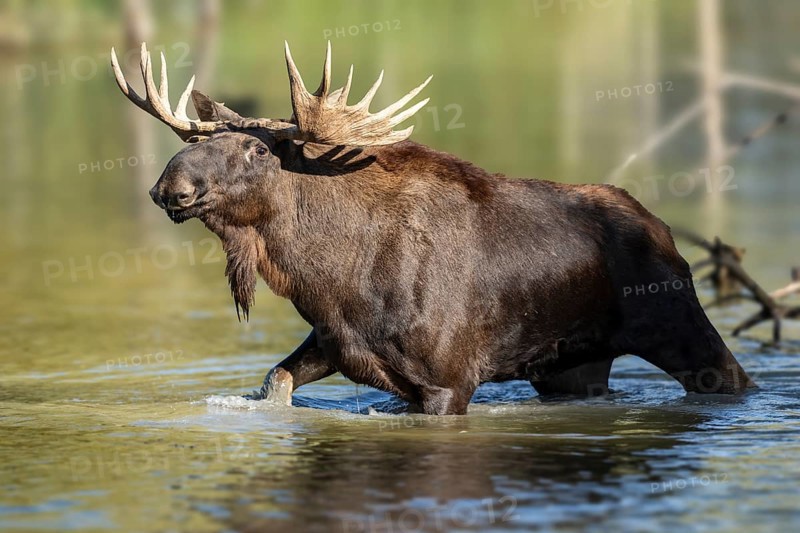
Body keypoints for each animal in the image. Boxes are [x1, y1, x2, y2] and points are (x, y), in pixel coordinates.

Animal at [110, 42, 756, 415]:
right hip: (569, 367)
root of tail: (664, 230)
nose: (169, 187)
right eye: (202, 140)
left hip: (679, 325)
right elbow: (276, 382)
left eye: (257, 149)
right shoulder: (335, 342)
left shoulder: (449, 380)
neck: (329, 278)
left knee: (735, 376)